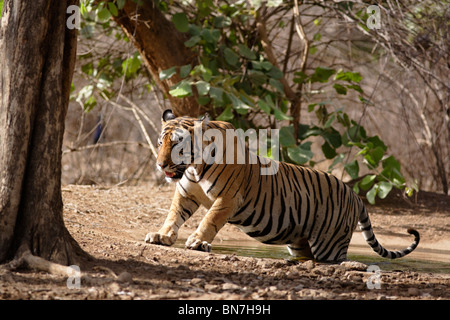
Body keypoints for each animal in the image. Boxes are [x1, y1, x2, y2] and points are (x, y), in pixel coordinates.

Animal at [146, 109, 420, 262]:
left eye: (178, 144)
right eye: (160, 143)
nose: (160, 165)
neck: (195, 166)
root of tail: (355, 195)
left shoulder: (228, 198)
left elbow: (210, 220)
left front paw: (197, 242)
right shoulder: (185, 193)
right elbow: (173, 216)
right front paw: (162, 236)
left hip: (330, 244)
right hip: (299, 242)